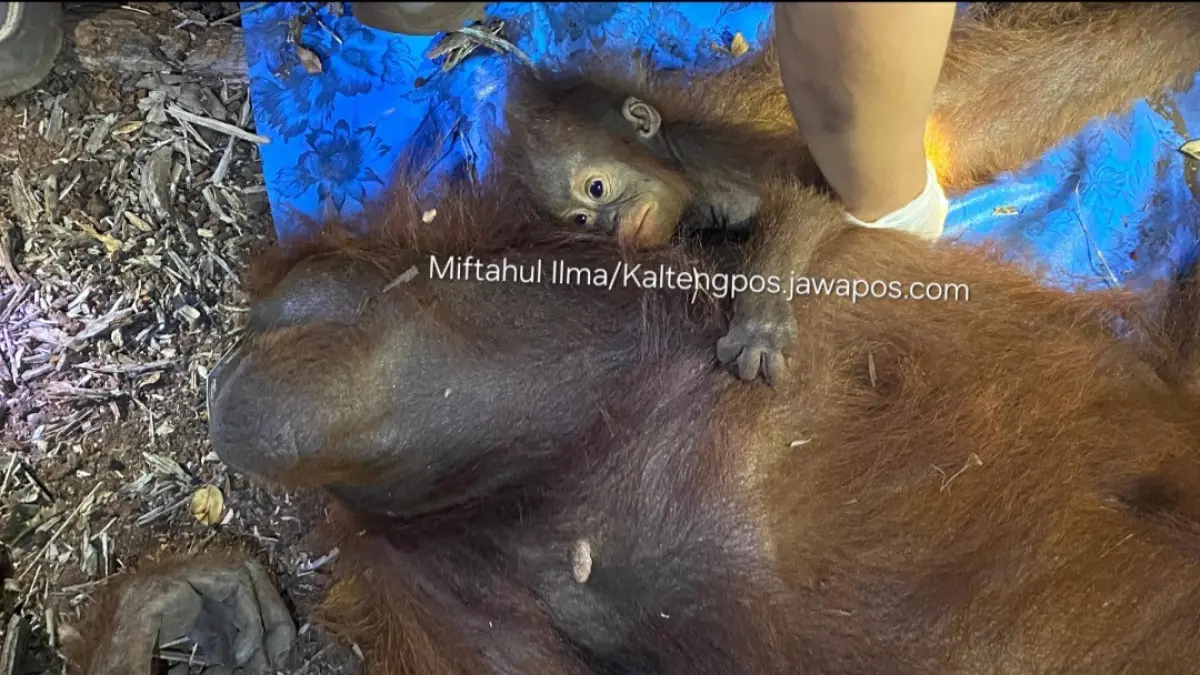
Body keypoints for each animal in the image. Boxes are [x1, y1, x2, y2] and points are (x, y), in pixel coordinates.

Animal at [498, 1, 1200, 385]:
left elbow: (814, 186)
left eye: (597, 188)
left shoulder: (720, 147)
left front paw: (759, 317)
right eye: (580, 218)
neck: (684, 163)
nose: (610, 224)